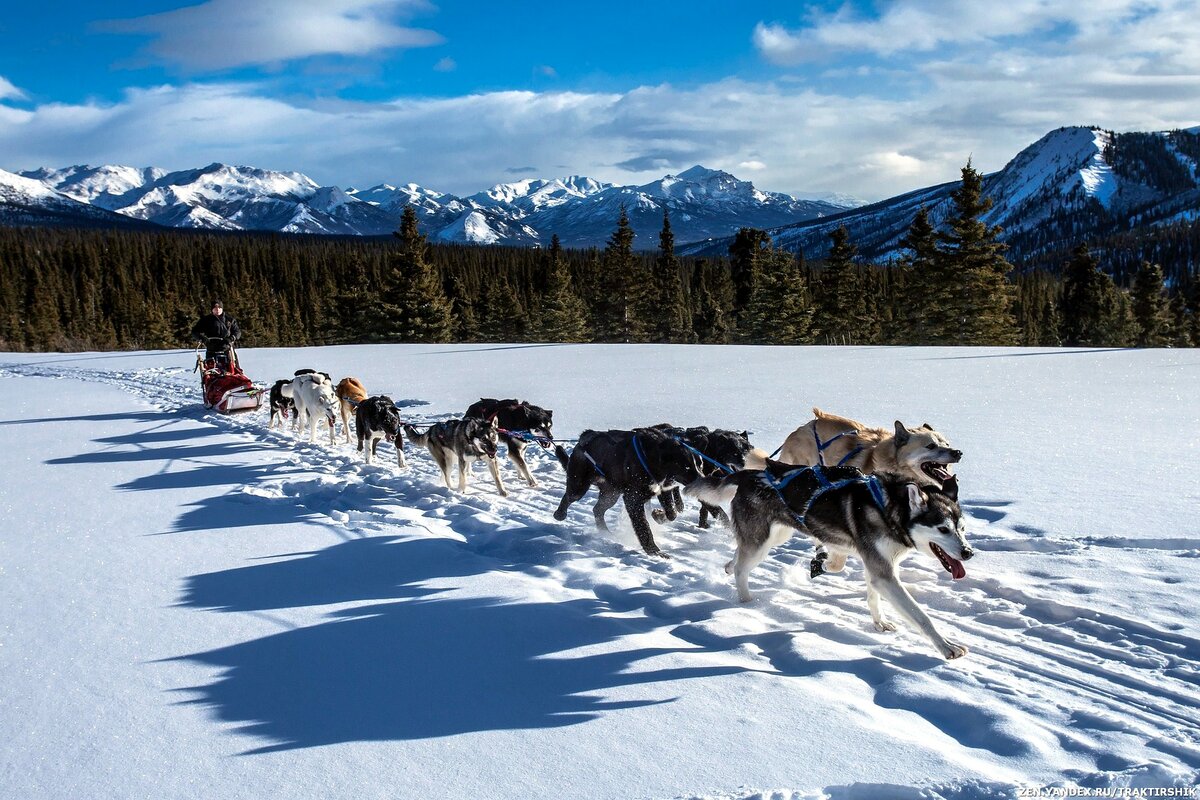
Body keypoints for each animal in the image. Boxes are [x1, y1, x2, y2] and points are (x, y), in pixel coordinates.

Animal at [552, 429, 700, 561]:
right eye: (686, 467)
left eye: (698, 463)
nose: (702, 478)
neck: (651, 458)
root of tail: (583, 438)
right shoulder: (633, 499)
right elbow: (644, 527)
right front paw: (654, 551)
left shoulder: (663, 490)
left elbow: (672, 513)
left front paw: (658, 515)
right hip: (579, 486)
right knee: (569, 497)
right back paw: (560, 514)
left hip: (611, 495)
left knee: (597, 509)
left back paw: (605, 532)